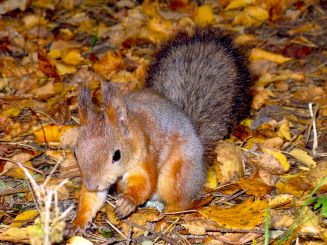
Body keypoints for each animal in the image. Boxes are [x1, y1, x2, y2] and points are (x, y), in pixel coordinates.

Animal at [72, 28, 252, 232]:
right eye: (76, 153)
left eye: (117, 155)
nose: (91, 184)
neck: (135, 129)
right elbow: (91, 199)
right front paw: (78, 221)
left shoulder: (145, 157)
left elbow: (145, 183)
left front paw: (128, 202)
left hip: (176, 176)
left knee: (180, 202)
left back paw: (168, 214)